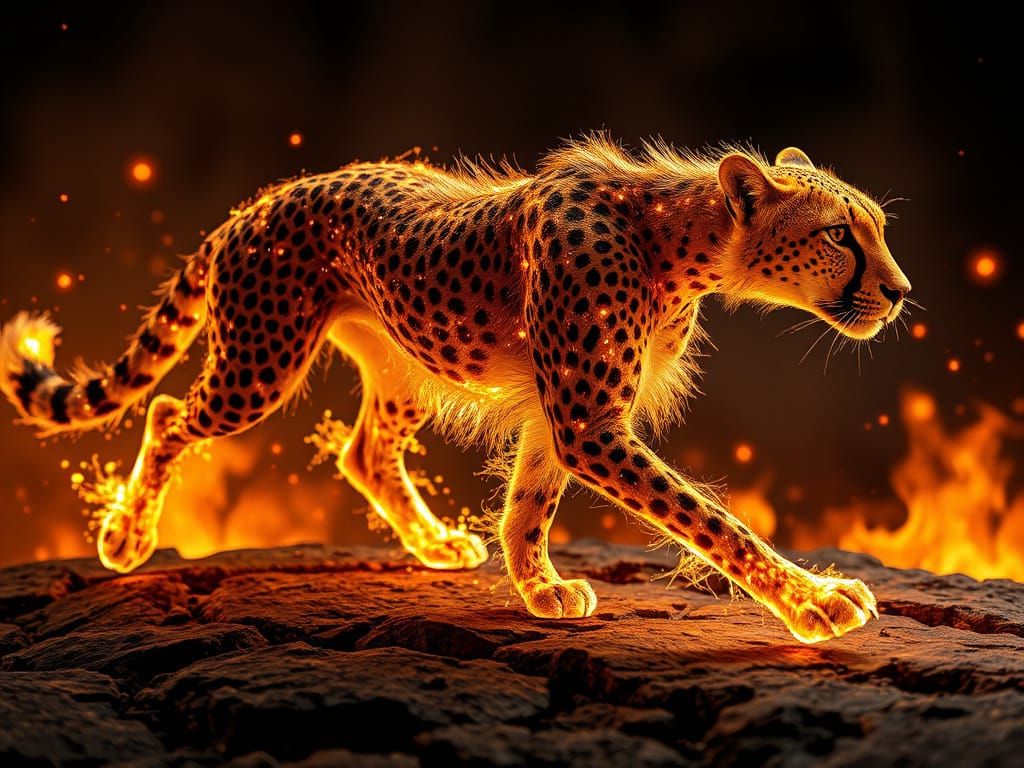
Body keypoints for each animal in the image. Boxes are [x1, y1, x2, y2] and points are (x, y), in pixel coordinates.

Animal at [0, 135, 910, 643]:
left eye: (878, 229)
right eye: (840, 235)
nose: (901, 292)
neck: (680, 239)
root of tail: (255, 202)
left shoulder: (562, 415)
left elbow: (528, 506)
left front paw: (539, 591)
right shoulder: (587, 419)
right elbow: (712, 522)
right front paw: (817, 604)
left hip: (406, 362)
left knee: (364, 452)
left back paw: (435, 545)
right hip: (258, 363)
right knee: (165, 412)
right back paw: (125, 538)